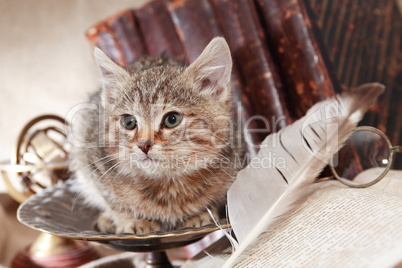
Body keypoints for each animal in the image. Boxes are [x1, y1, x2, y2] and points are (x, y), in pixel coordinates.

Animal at [69, 36, 240, 233]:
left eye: (172, 119)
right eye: (129, 122)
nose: (143, 144)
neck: (168, 184)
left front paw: (199, 213)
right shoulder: (93, 160)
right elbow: (113, 201)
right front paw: (131, 220)